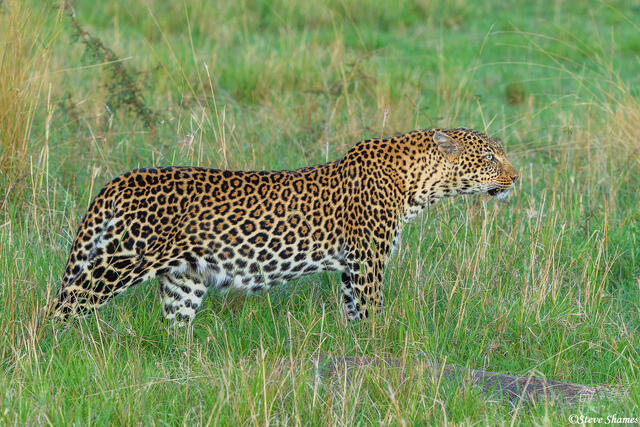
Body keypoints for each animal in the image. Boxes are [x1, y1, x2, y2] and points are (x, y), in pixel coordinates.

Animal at [45, 127, 519, 325]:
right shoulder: (368, 262)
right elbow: (373, 310)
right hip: (118, 262)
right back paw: (48, 350)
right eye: (489, 157)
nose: (516, 178)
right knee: (61, 306)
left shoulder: (351, 269)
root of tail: (123, 178)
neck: (418, 182)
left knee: (175, 325)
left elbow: (353, 313)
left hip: (183, 278)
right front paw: (380, 347)